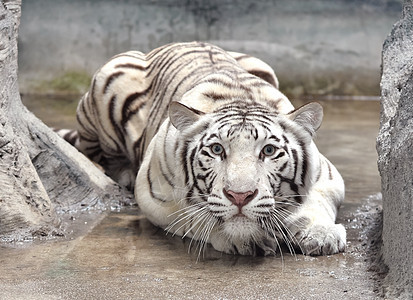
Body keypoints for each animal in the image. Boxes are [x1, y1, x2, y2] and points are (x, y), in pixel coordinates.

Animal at [67, 41, 344, 255]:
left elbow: (318, 201)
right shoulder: (153, 195)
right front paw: (246, 238)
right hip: (109, 78)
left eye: (268, 151)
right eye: (217, 150)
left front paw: (321, 234)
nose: (240, 196)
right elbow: (195, 216)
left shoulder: (328, 176)